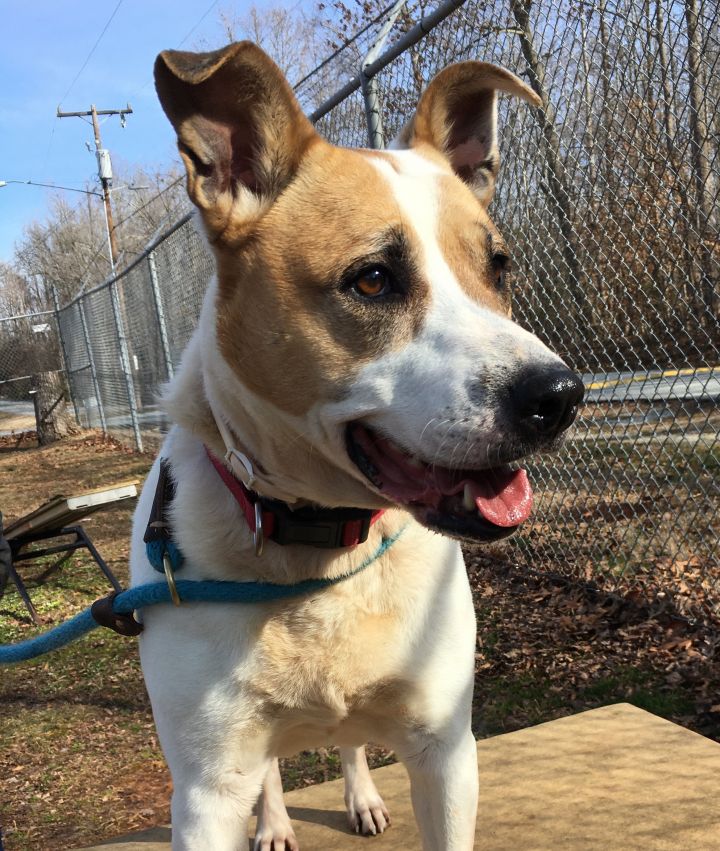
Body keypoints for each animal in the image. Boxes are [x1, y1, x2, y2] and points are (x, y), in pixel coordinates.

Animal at [132, 41, 584, 851]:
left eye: (498, 266)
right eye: (372, 280)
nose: (559, 397)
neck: (322, 550)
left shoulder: (446, 750)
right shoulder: (208, 789)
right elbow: (247, 778)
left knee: (346, 740)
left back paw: (362, 795)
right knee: (273, 772)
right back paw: (277, 822)